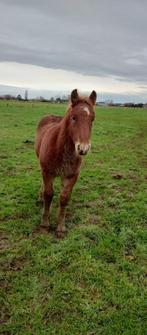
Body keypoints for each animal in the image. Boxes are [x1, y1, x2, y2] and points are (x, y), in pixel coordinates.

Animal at [35, 88, 97, 238]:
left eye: (92, 118)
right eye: (73, 117)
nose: (83, 148)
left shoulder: (71, 175)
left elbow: (64, 198)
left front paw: (60, 228)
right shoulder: (47, 172)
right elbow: (48, 194)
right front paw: (45, 224)